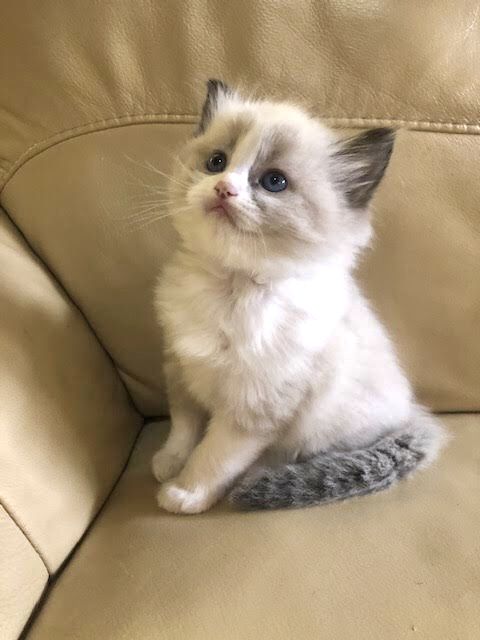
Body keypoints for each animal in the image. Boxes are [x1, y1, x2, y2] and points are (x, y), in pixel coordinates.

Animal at [151, 81, 446, 516]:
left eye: (274, 182)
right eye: (216, 162)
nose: (224, 189)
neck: (230, 288)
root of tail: (413, 414)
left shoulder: (253, 409)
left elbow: (213, 456)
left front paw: (184, 493)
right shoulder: (181, 369)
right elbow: (184, 427)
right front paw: (169, 463)